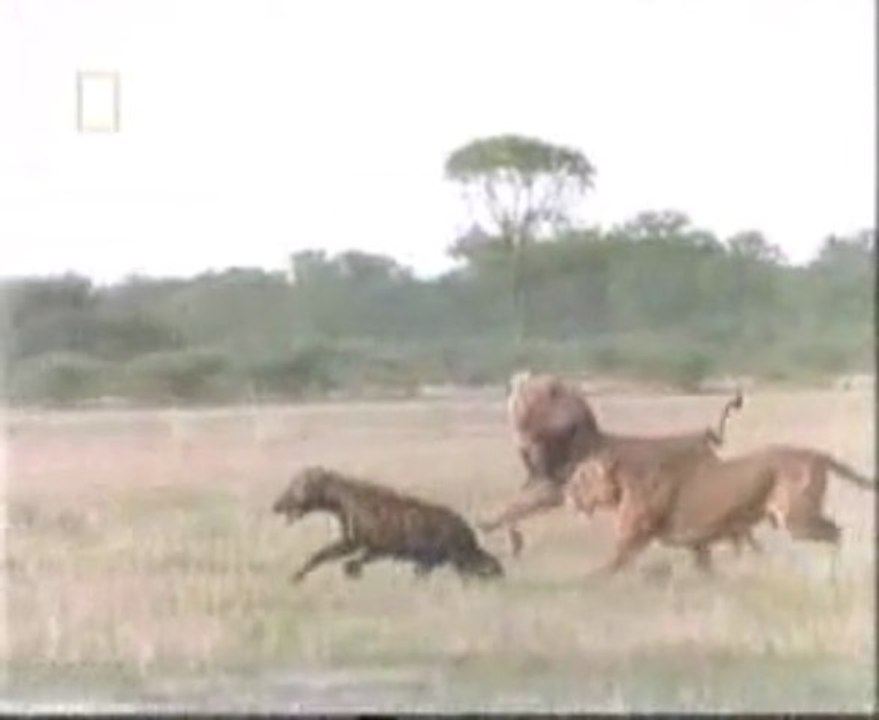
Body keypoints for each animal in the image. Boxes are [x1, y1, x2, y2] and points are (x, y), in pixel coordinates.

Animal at [566, 444, 875, 576]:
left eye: (581, 477)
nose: (566, 494)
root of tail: (813, 452)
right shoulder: (699, 543)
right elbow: (707, 570)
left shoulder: (632, 539)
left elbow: (605, 570)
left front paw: (580, 586)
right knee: (835, 531)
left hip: (798, 520)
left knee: (836, 532)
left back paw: (835, 573)